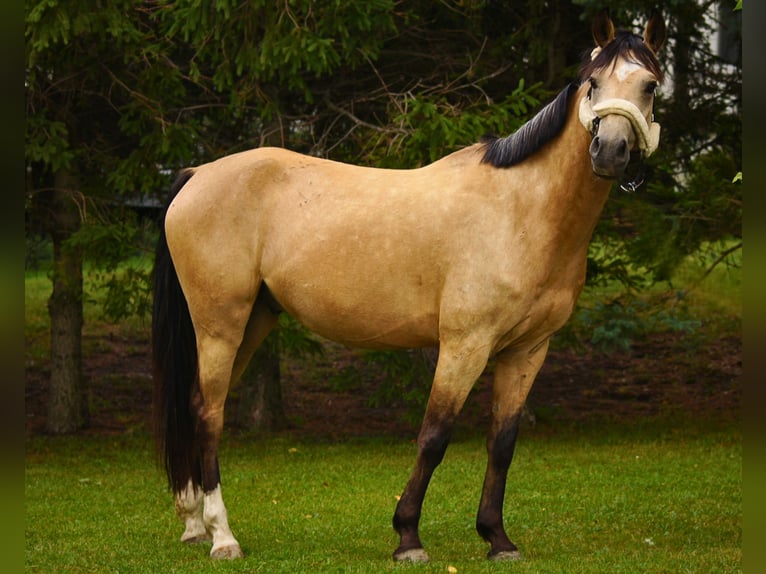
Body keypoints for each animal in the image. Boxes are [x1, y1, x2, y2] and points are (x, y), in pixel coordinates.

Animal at [152, 12, 666, 562]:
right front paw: (408, 537)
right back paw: (222, 536)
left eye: (650, 85)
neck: (521, 210)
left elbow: (502, 443)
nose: (609, 152)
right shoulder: (465, 345)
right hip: (219, 326)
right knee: (208, 413)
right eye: (593, 83)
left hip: (253, 321)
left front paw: (497, 538)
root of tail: (197, 173)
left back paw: (195, 524)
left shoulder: (527, 350)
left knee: (197, 406)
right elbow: (434, 436)